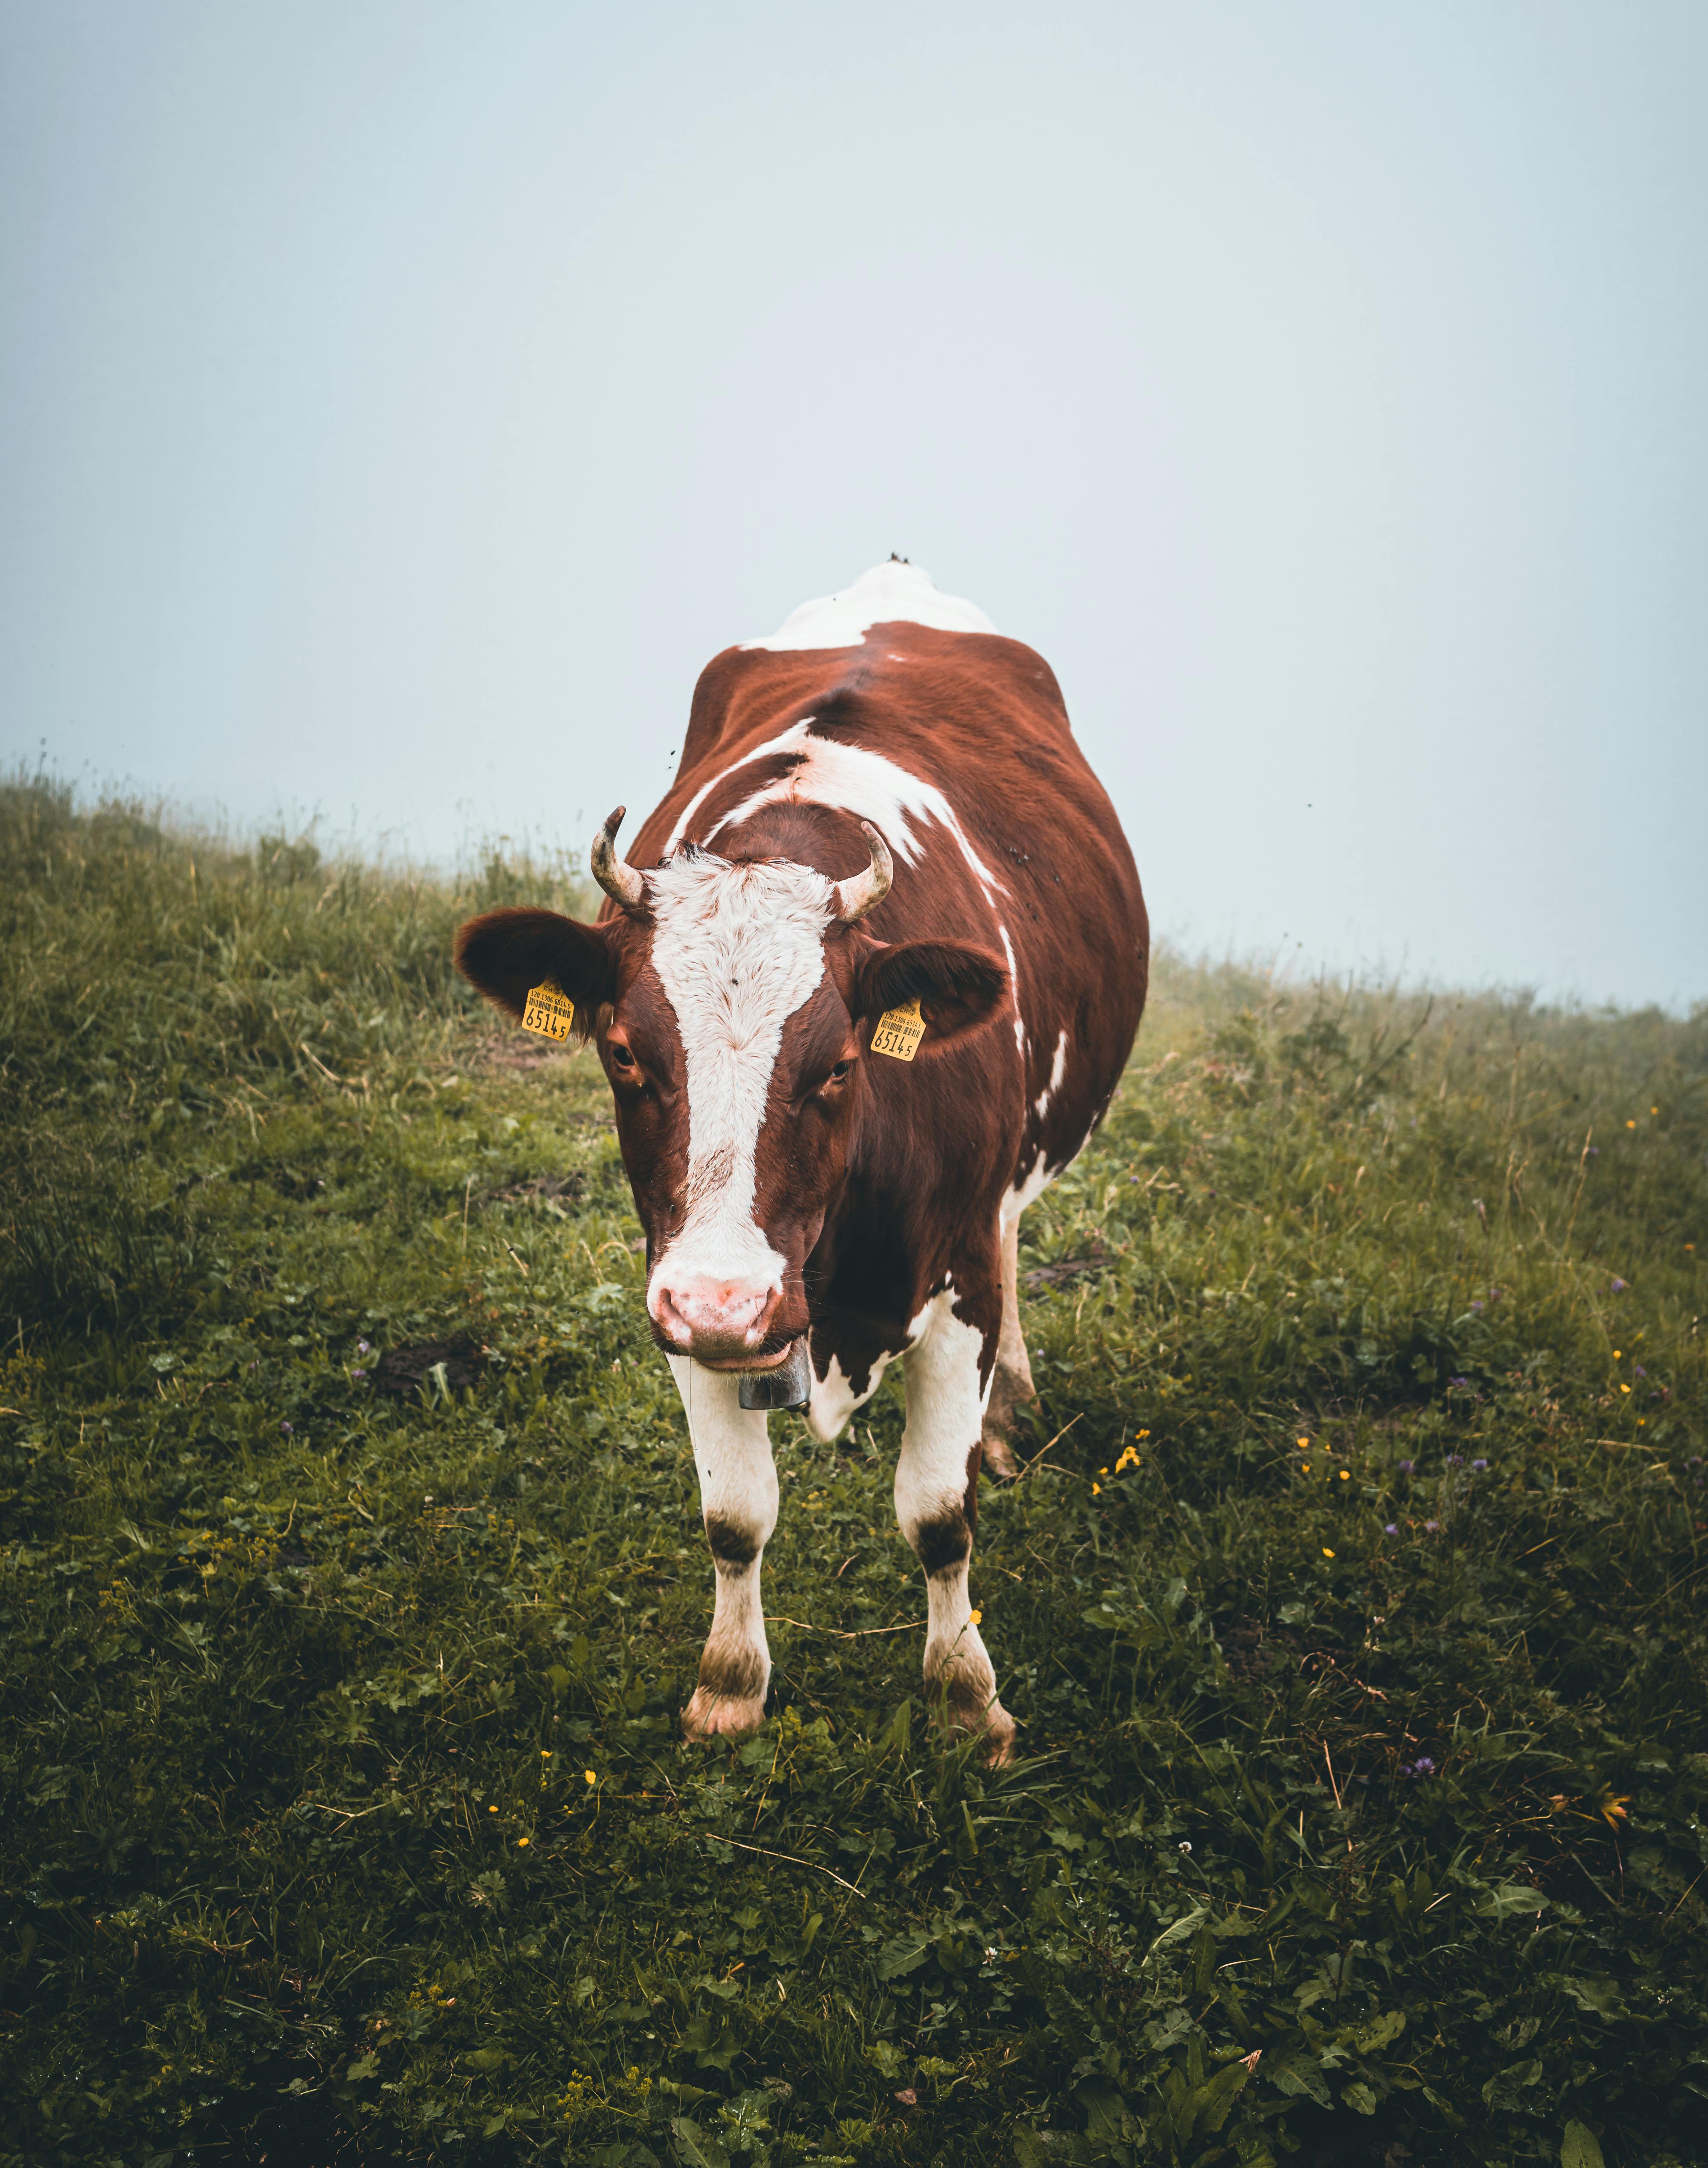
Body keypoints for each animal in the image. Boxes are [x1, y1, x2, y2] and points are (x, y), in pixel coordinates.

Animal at [453, 564, 1144, 1760]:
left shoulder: (954, 1278)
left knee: (1015, 1233)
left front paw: (967, 1699)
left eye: (837, 1065)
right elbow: (735, 1516)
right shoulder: (680, 1280)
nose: (731, 1302)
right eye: (622, 1050)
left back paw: (1008, 1413)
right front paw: (730, 1687)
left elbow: (937, 1514)